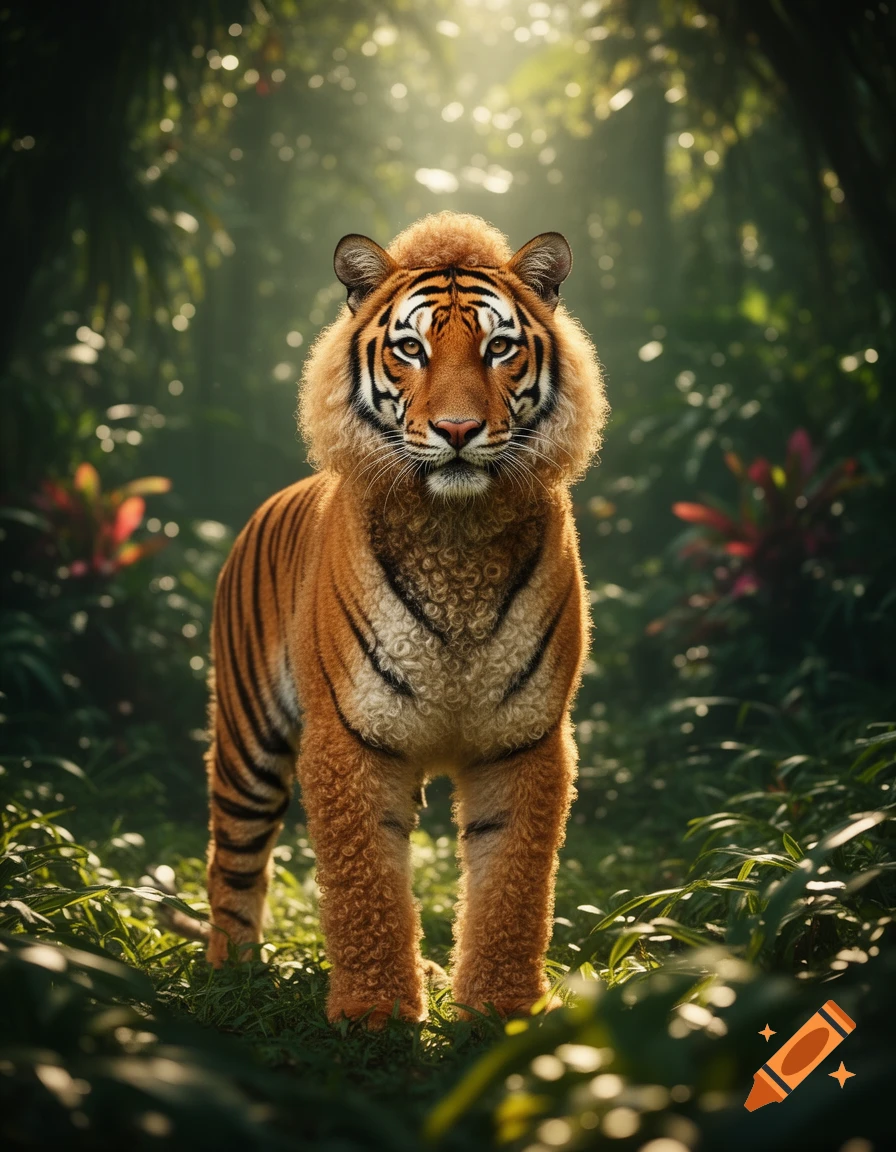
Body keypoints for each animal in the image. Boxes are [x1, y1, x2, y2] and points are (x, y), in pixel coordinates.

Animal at [201, 211, 607, 1026]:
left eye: (499, 348)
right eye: (411, 348)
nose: (456, 429)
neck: (455, 540)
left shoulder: (524, 739)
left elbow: (513, 883)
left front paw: (499, 1009)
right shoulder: (351, 737)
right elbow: (366, 888)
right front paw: (377, 1014)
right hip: (248, 745)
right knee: (232, 861)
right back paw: (232, 979)